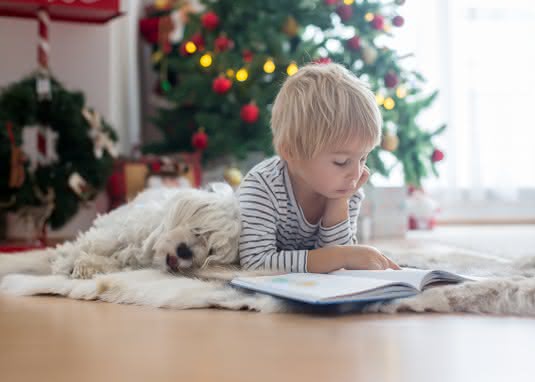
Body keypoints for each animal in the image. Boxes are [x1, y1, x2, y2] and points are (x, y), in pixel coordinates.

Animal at [0, 184, 243, 280]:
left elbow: (112, 264)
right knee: (73, 244)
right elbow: (90, 246)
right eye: (198, 230)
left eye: (211, 251)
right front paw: (67, 263)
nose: (186, 251)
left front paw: (87, 266)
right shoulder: (118, 233)